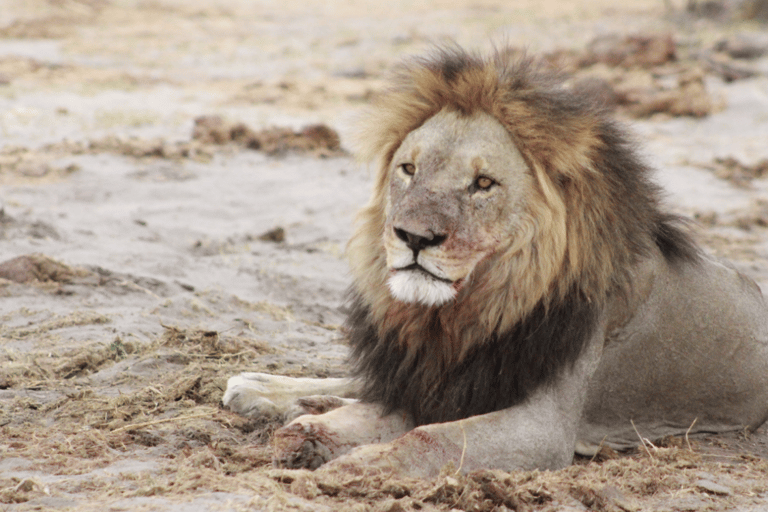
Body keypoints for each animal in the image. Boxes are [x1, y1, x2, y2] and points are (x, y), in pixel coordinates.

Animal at [222, 46, 768, 478]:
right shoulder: (439, 380)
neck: (466, 314)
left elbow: (431, 437)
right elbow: (378, 412)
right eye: (409, 169)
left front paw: (357, 466)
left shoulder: (542, 426)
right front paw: (307, 432)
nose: (414, 237)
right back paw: (260, 388)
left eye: (483, 184)